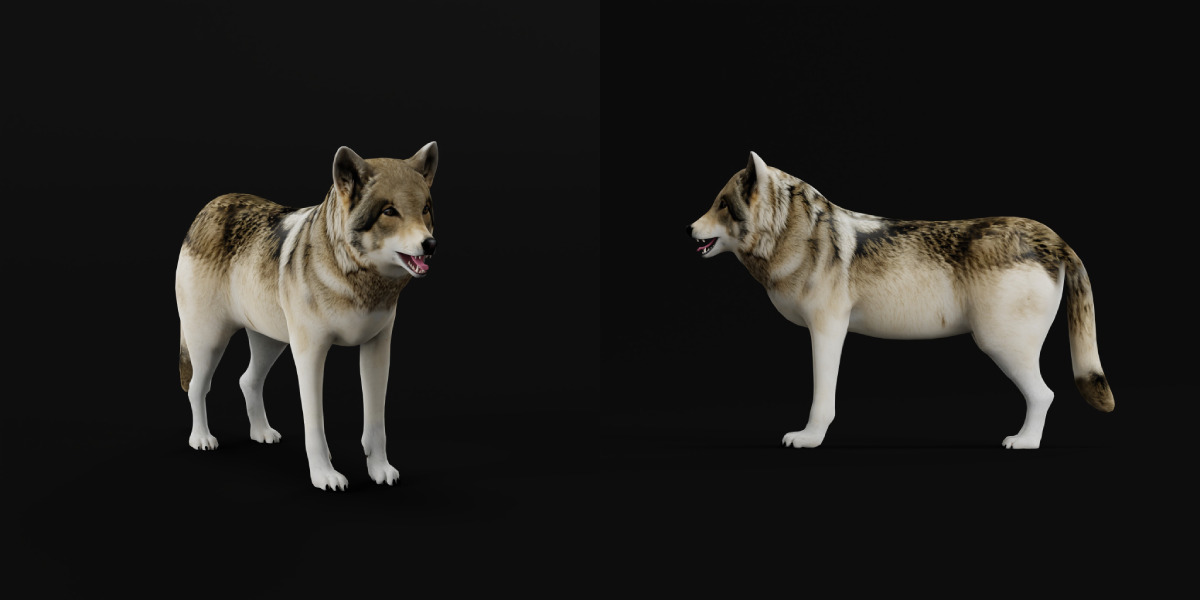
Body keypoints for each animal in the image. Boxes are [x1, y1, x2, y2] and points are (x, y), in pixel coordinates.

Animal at [176, 143, 438, 490]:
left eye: (425, 209)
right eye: (389, 211)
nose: (430, 244)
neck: (359, 282)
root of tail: (209, 207)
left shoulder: (378, 351)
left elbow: (376, 423)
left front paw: (379, 469)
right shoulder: (310, 354)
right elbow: (315, 425)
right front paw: (325, 476)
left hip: (270, 341)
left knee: (247, 380)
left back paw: (261, 433)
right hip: (209, 343)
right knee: (197, 387)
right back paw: (202, 438)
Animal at [688, 152, 1113, 449]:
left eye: (723, 204)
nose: (690, 228)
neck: (794, 232)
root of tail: (1054, 239)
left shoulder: (828, 331)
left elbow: (822, 399)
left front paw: (809, 438)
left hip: (1001, 345)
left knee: (1044, 394)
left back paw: (1025, 442)